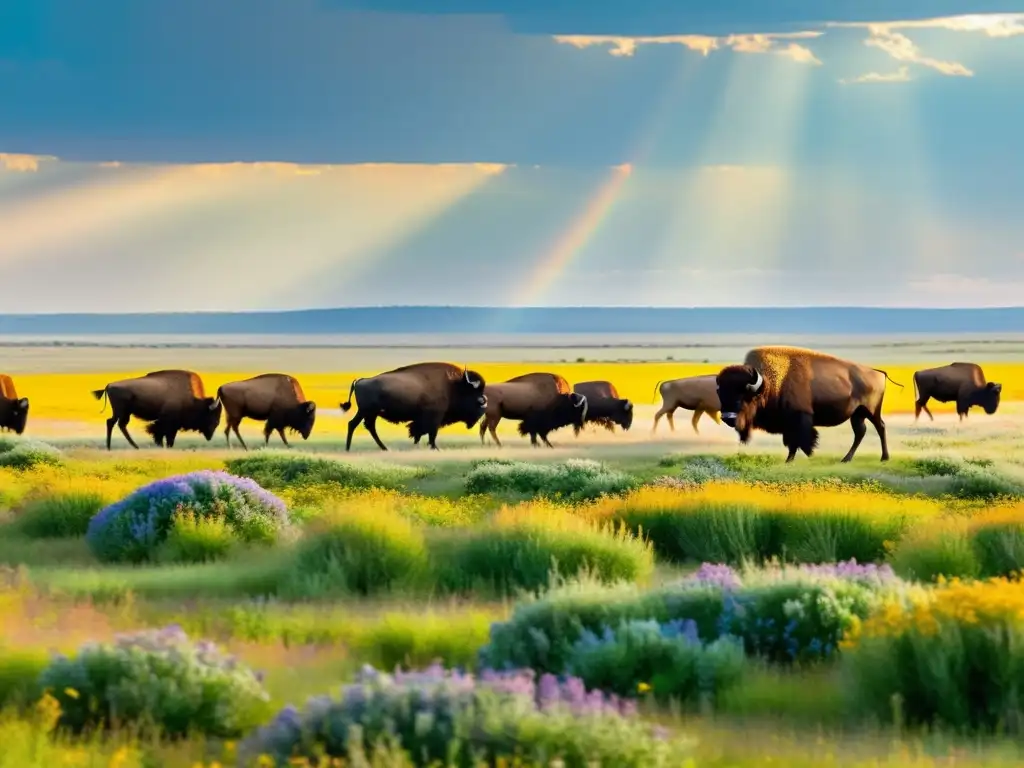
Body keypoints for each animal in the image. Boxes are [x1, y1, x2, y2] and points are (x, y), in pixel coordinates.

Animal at [90, 370, 224, 450]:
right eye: (213, 416)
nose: (210, 435)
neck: (192, 399)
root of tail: (109, 385)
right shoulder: (168, 423)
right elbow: (164, 435)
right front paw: (164, 446)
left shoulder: (170, 424)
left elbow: (164, 435)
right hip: (120, 411)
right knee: (112, 423)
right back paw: (111, 447)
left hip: (125, 413)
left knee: (120, 425)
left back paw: (134, 447)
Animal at [342, 362, 485, 450]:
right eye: (477, 398)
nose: (484, 403)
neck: (453, 386)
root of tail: (361, 381)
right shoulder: (434, 417)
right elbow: (431, 433)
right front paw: (435, 448)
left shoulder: (423, 419)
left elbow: (419, 432)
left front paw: (417, 445)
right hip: (366, 411)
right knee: (355, 424)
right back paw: (349, 448)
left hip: (370, 413)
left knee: (367, 426)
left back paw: (384, 448)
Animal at [712, 348, 905, 462]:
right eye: (721, 394)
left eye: (742, 397)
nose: (727, 418)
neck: (768, 384)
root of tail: (876, 372)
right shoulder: (788, 423)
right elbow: (791, 442)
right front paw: (791, 460)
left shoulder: (799, 419)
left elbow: (800, 440)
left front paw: (804, 456)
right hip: (857, 414)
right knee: (860, 432)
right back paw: (846, 459)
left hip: (871, 411)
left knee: (880, 427)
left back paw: (884, 458)